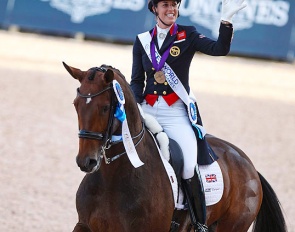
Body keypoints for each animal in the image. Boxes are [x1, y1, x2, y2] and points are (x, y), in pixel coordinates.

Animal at [63, 62, 288, 232]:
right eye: (75, 104)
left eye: (105, 108)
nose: (86, 161)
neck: (114, 177)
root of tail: (249, 165)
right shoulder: (84, 226)